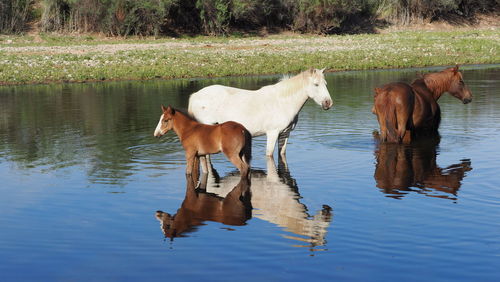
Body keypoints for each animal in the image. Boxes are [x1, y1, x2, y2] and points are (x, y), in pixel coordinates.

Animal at [188, 67, 332, 158]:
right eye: (316, 84)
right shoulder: (272, 133)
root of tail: (195, 95)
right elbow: (269, 154)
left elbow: (282, 154)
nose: (328, 103)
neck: (282, 102)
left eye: (325, 83)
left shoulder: (285, 134)